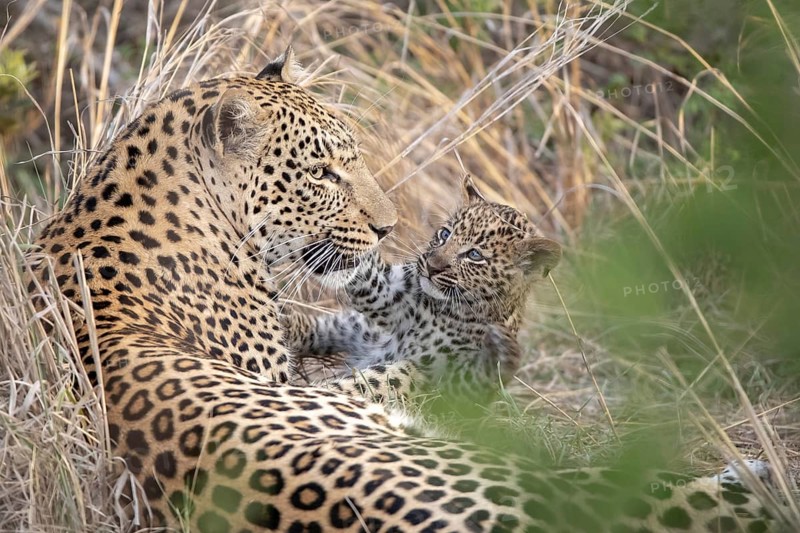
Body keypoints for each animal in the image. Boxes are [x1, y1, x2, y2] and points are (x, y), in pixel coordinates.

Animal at [283, 173, 561, 409]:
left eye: (474, 256)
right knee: (321, 328)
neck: (438, 309)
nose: (431, 266)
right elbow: (368, 275)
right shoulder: (390, 293)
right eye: (445, 234)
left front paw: (503, 353)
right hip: (360, 329)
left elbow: (473, 381)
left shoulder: (448, 384)